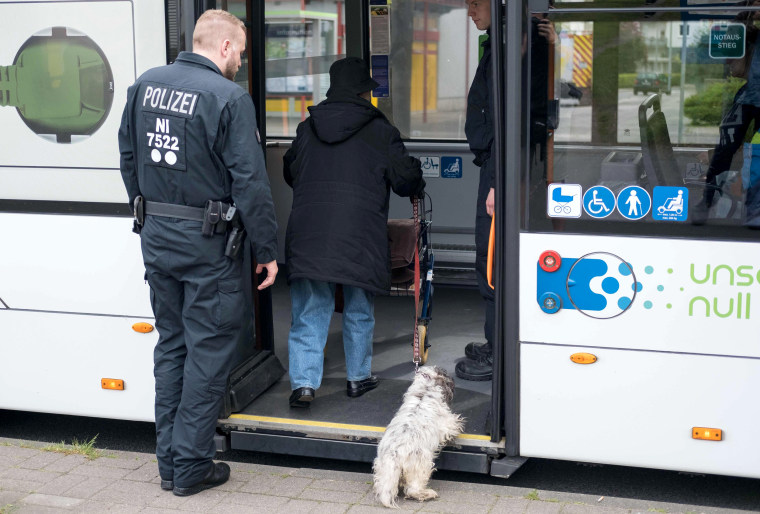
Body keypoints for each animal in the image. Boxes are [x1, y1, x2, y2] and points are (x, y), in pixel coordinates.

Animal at [372, 366, 464, 506]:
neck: (424, 394)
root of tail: (395, 454)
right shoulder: (447, 425)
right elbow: (455, 423)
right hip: (421, 464)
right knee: (412, 490)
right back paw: (427, 494)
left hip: (381, 466)